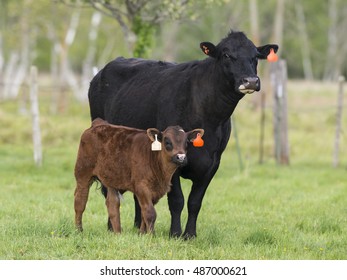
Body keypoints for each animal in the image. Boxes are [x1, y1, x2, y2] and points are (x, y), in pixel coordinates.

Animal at [73, 118, 204, 234]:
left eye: (186, 143)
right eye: (167, 142)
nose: (181, 157)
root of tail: (98, 124)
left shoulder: (155, 191)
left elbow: (144, 212)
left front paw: (142, 233)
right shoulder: (142, 187)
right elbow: (150, 213)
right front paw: (151, 235)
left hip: (111, 179)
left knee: (112, 205)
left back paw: (118, 233)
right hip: (83, 173)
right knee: (80, 201)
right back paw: (79, 230)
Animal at [88, 30, 278, 238]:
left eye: (255, 57)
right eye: (227, 54)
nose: (250, 81)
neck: (208, 115)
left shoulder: (213, 163)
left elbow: (195, 202)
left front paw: (190, 235)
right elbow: (177, 200)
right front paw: (175, 233)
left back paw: (139, 226)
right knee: (109, 190)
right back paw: (112, 227)